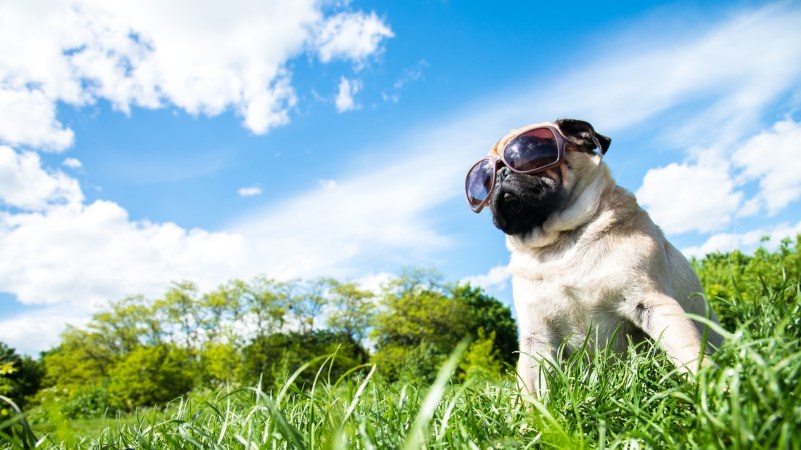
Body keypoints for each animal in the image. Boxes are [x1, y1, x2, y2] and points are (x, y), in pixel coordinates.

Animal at [462, 118, 724, 396]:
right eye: (484, 181)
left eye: (529, 155)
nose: (501, 173)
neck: (559, 244)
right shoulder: (537, 338)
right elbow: (532, 393)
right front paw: (534, 411)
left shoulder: (653, 302)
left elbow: (689, 351)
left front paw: (711, 391)